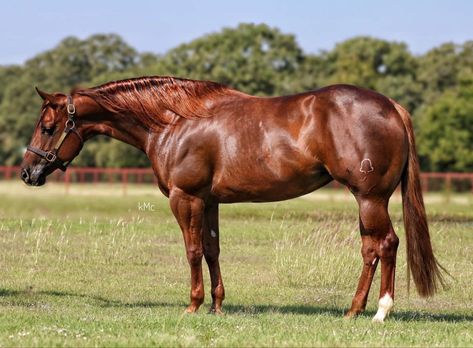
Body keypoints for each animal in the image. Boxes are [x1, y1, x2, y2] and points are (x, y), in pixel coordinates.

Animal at [21, 75, 442, 320]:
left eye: (48, 127)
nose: (28, 172)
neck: (174, 121)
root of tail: (391, 107)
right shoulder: (209, 201)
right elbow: (211, 250)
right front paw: (217, 304)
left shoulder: (186, 198)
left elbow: (192, 251)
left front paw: (193, 304)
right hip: (366, 200)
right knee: (371, 249)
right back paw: (353, 310)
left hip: (370, 198)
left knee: (386, 244)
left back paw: (380, 312)